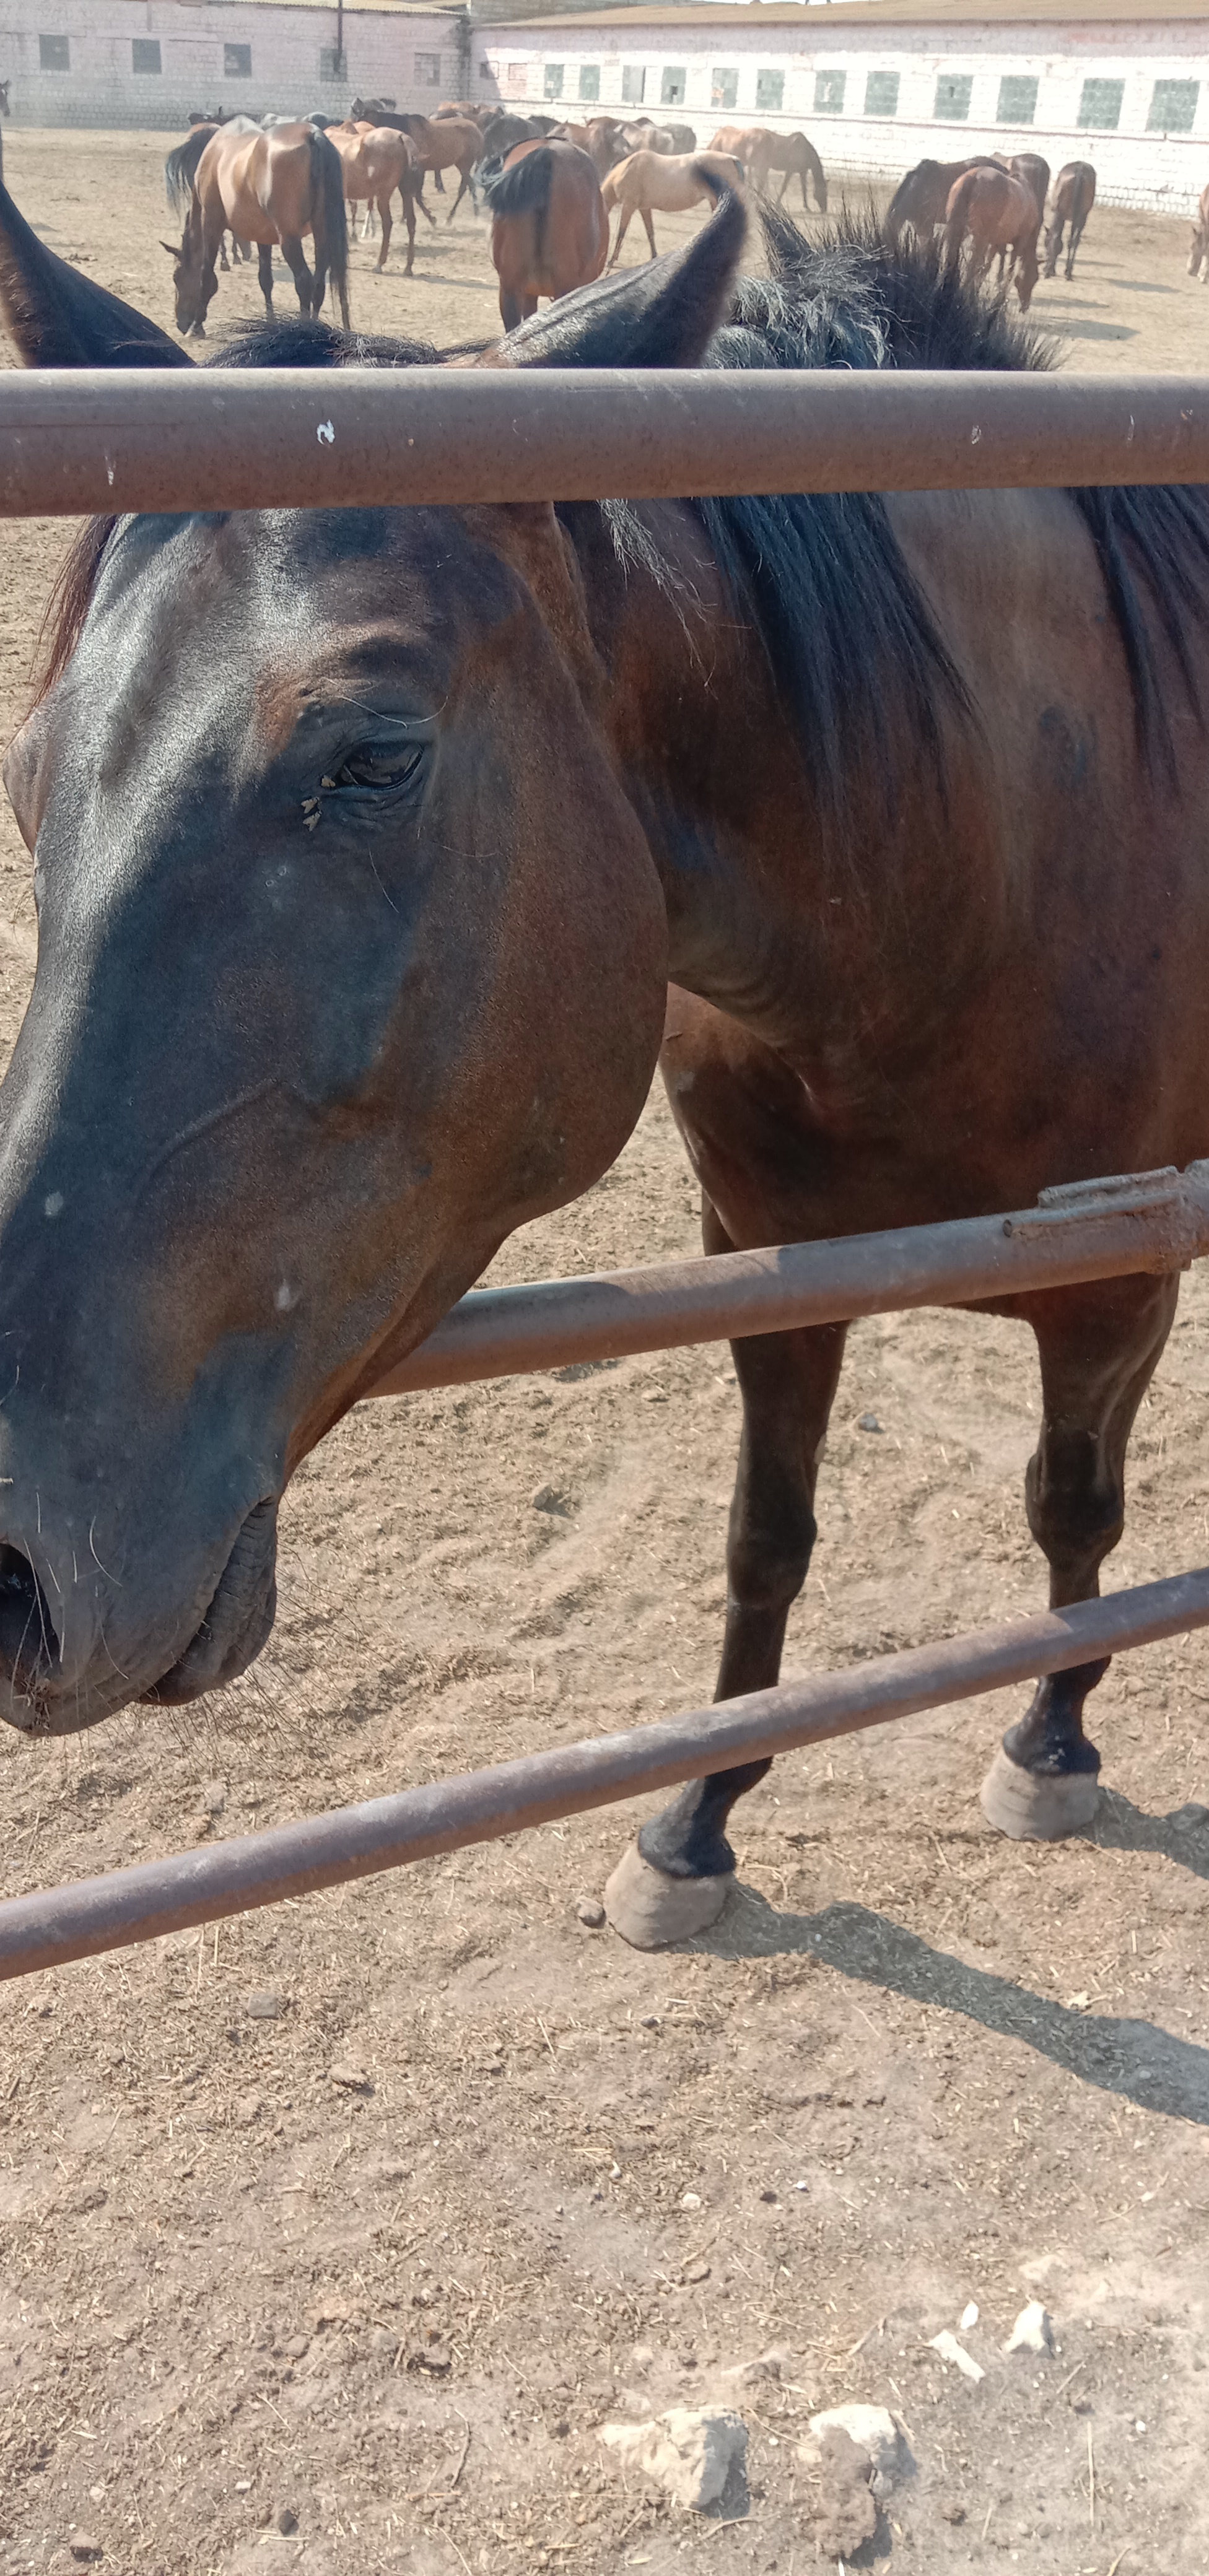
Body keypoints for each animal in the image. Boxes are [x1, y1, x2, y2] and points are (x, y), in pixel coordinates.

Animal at [2, 181, 1206, 1947]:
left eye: (376, 757)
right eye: (31, 776)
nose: (16, 1559)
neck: (995, 852)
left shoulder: (1116, 1277)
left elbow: (1072, 1506)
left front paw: (1049, 1744)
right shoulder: (771, 1259)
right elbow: (765, 1540)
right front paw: (694, 1823)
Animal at [164, 121, 347, 337]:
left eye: (176, 278)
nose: (181, 323)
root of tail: (312, 134)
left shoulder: (211, 223)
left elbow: (206, 274)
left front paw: (197, 326)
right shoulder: (263, 236)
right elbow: (265, 280)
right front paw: (270, 322)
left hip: (289, 239)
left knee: (305, 282)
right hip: (322, 234)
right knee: (319, 284)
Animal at [943, 161, 1036, 309]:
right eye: (1033, 278)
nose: (1025, 307)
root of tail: (973, 177)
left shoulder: (995, 242)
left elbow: (986, 268)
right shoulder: (1019, 242)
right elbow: (1009, 270)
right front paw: (1000, 298)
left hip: (956, 231)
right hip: (979, 239)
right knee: (971, 267)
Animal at [1041, 157, 1098, 279]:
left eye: (1045, 242)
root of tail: (1080, 172)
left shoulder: (1059, 215)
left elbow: (1056, 240)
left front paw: (1050, 270)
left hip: (1063, 214)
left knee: (1058, 238)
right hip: (1082, 216)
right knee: (1074, 241)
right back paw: (1069, 272)